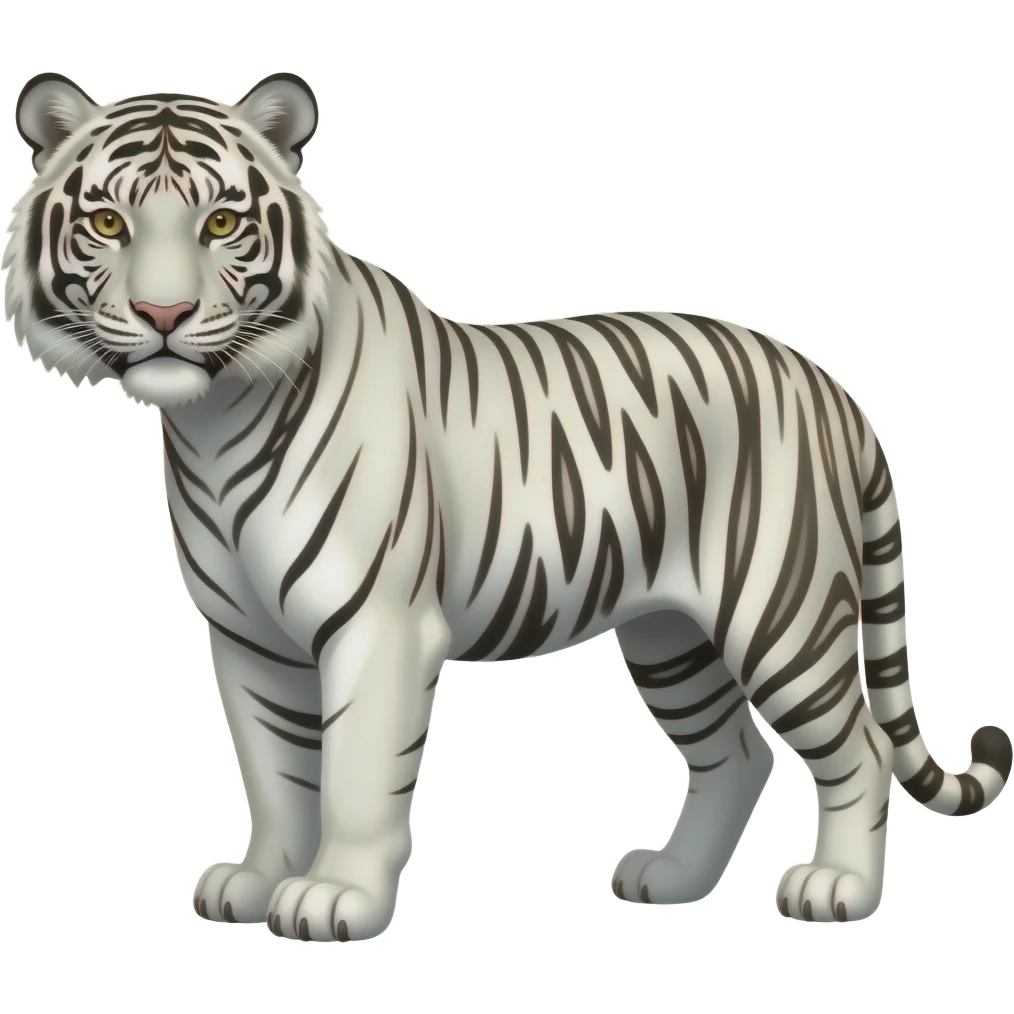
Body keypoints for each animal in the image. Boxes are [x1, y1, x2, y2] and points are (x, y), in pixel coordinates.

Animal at [4, 69, 1010, 943]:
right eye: (107, 220)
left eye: (220, 221)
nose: (163, 315)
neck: (211, 419)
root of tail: (829, 384)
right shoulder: (248, 638)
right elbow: (277, 771)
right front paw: (259, 882)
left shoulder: (376, 625)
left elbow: (355, 774)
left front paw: (333, 898)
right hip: (669, 632)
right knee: (737, 753)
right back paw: (671, 879)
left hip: (782, 612)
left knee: (858, 750)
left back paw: (836, 889)